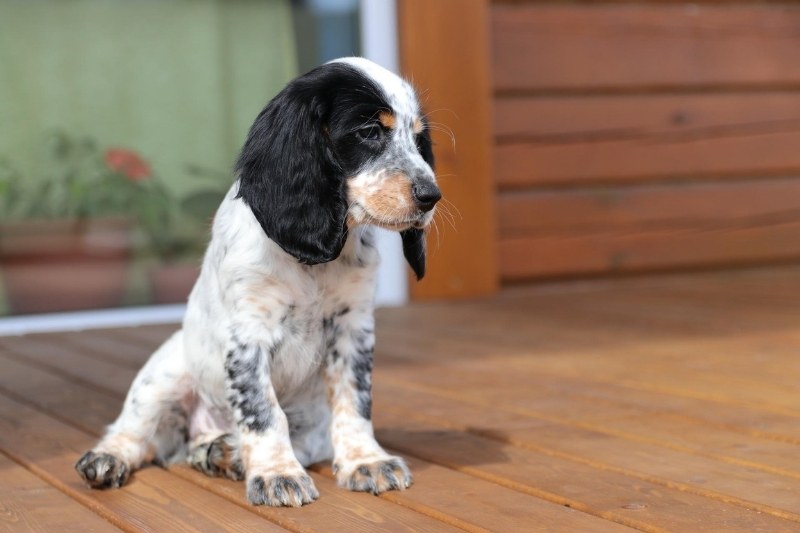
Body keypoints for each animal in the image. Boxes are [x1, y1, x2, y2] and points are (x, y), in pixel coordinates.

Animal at [75, 58, 440, 508]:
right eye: (370, 131)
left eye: (419, 139)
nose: (432, 196)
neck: (314, 262)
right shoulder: (249, 333)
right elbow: (263, 411)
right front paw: (277, 474)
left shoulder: (353, 328)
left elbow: (354, 400)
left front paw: (365, 461)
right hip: (165, 373)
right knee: (133, 432)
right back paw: (111, 458)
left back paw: (221, 452)